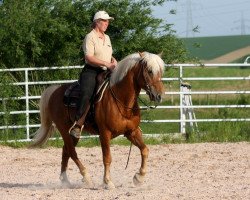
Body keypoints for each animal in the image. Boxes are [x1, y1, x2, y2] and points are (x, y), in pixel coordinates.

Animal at [30, 51, 165, 189]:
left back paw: (65, 181)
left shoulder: (131, 132)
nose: (159, 96)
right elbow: (107, 157)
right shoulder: (104, 134)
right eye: (150, 71)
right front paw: (107, 182)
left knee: (66, 151)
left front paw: (139, 177)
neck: (120, 99)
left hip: (73, 133)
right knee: (72, 152)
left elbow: (145, 150)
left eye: (161, 71)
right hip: (63, 129)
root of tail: (55, 90)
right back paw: (86, 177)